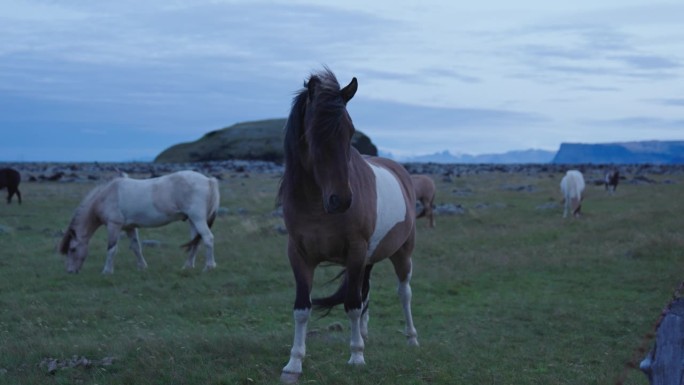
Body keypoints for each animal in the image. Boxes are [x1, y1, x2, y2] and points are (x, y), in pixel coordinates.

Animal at [59, 169, 219, 272]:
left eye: (72, 249)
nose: (70, 271)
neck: (107, 195)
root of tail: (208, 180)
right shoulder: (130, 227)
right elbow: (136, 247)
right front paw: (142, 267)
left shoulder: (114, 226)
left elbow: (111, 249)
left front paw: (107, 271)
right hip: (192, 220)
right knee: (195, 242)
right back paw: (187, 266)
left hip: (197, 218)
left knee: (208, 238)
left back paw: (209, 267)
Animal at [276, 67, 416, 382]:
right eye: (313, 131)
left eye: (350, 131)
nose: (341, 200)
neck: (317, 206)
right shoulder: (298, 255)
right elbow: (302, 308)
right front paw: (294, 363)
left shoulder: (355, 251)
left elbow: (351, 304)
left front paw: (356, 356)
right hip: (369, 258)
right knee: (366, 292)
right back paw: (365, 332)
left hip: (402, 253)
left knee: (403, 293)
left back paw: (412, 338)